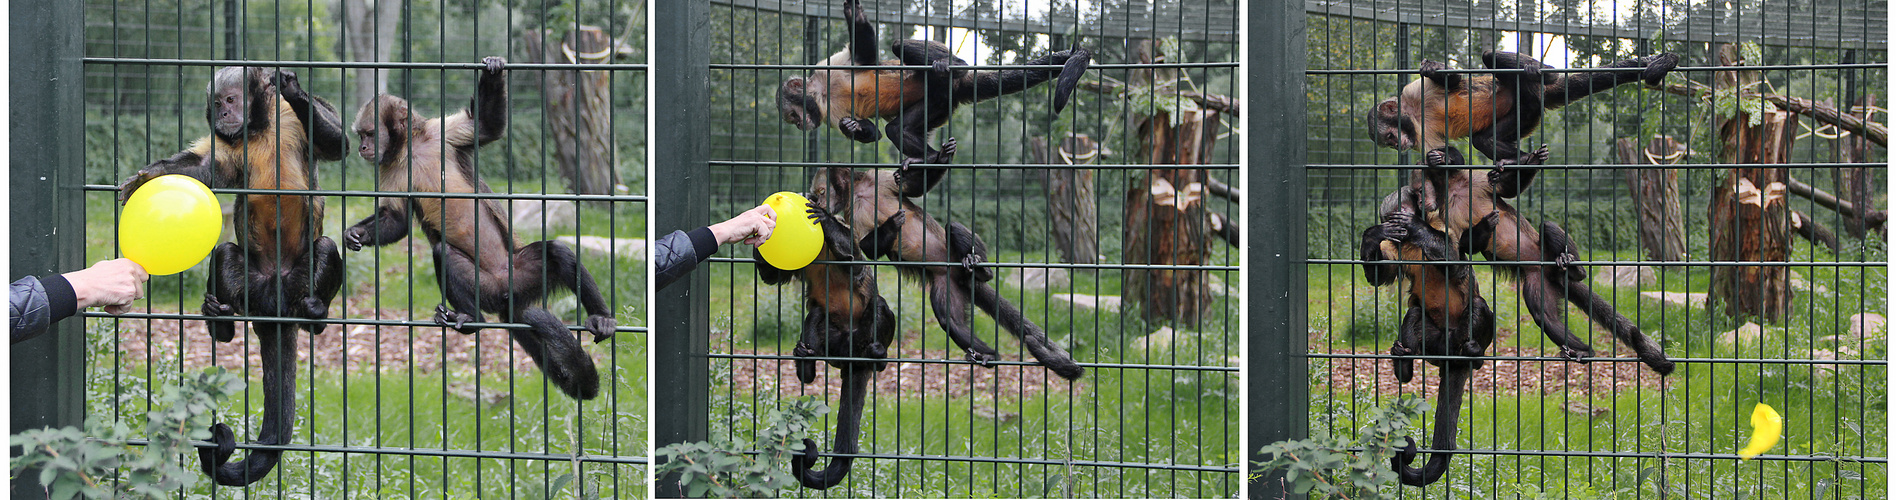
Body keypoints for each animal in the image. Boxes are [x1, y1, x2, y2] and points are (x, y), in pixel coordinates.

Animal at [116, 65, 348, 484]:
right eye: (217, 102)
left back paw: (315, 316)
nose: (223, 114)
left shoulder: (287, 119)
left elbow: (340, 144)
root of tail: (275, 302)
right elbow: (207, 169)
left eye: (230, 99)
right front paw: (149, 177)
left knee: (324, 248)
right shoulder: (227, 144)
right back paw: (221, 322)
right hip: (251, 285)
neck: (257, 129)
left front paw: (293, 88)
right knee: (225, 252)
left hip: (297, 283)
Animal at [337, 57, 610, 401]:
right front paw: (356, 234)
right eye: (361, 135)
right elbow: (397, 222)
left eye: (371, 134)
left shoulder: (438, 134)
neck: (409, 149)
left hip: (522, 272)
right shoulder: (389, 167)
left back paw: (602, 318)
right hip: (487, 289)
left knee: (558, 253)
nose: (361, 147)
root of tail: (508, 294)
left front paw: (493, 70)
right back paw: (472, 320)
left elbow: (485, 126)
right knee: (443, 252)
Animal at [777, 0, 1092, 169]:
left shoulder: (827, 68)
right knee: (898, 129)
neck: (823, 94)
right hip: (942, 103)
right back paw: (932, 158)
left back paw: (954, 65)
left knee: (899, 46)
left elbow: (865, 56)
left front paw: (854, 14)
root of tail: (958, 83)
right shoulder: (827, 114)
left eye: (792, 114)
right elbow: (874, 134)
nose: (799, 124)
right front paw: (852, 127)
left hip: (942, 87)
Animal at [811, 163, 1092, 378]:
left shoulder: (874, 177)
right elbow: (865, 252)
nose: (817, 200)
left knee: (952, 226)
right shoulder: (852, 213)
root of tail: (962, 274)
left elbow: (912, 186)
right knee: (950, 320)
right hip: (945, 282)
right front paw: (889, 225)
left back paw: (981, 270)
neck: (858, 192)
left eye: (822, 191)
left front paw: (943, 155)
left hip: (955, 257)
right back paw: (989, 355)